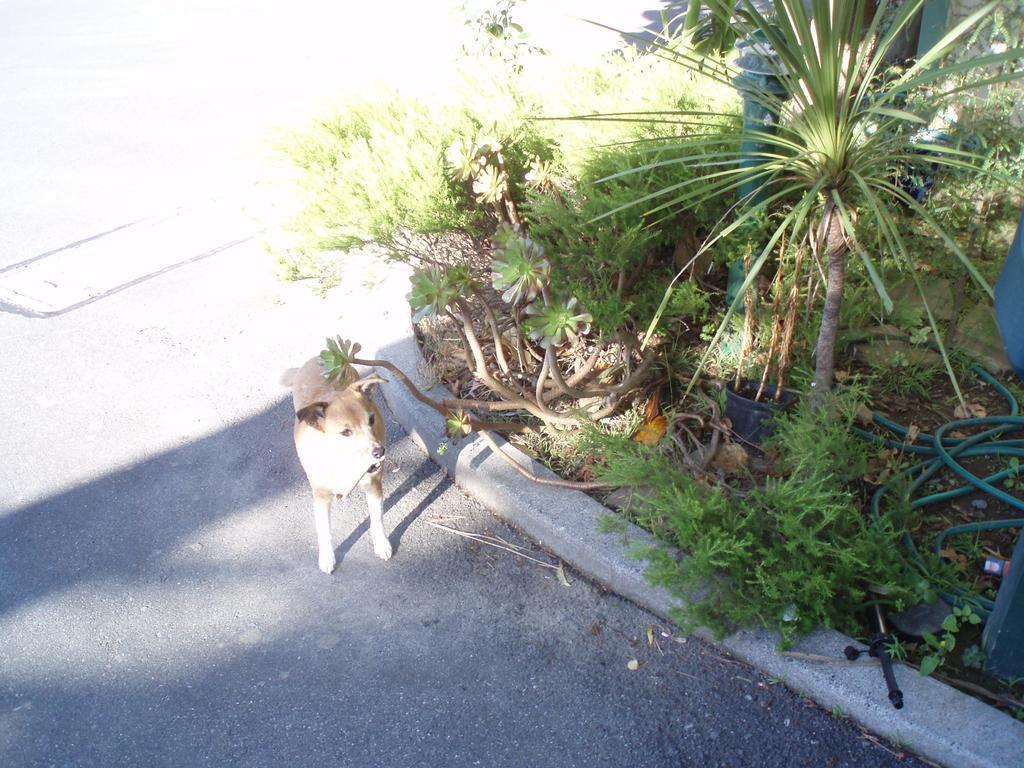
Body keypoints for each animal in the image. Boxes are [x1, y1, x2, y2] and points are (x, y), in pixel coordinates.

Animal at [284, 358, 391, 573]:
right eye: (345, 432)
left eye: (371, 419)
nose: (379, 452)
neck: (344, 462)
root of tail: (315, 358)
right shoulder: (321, 496)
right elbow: (324, 529)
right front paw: (327, 557)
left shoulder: (373, 485)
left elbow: (377, 518)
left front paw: (381, 544)